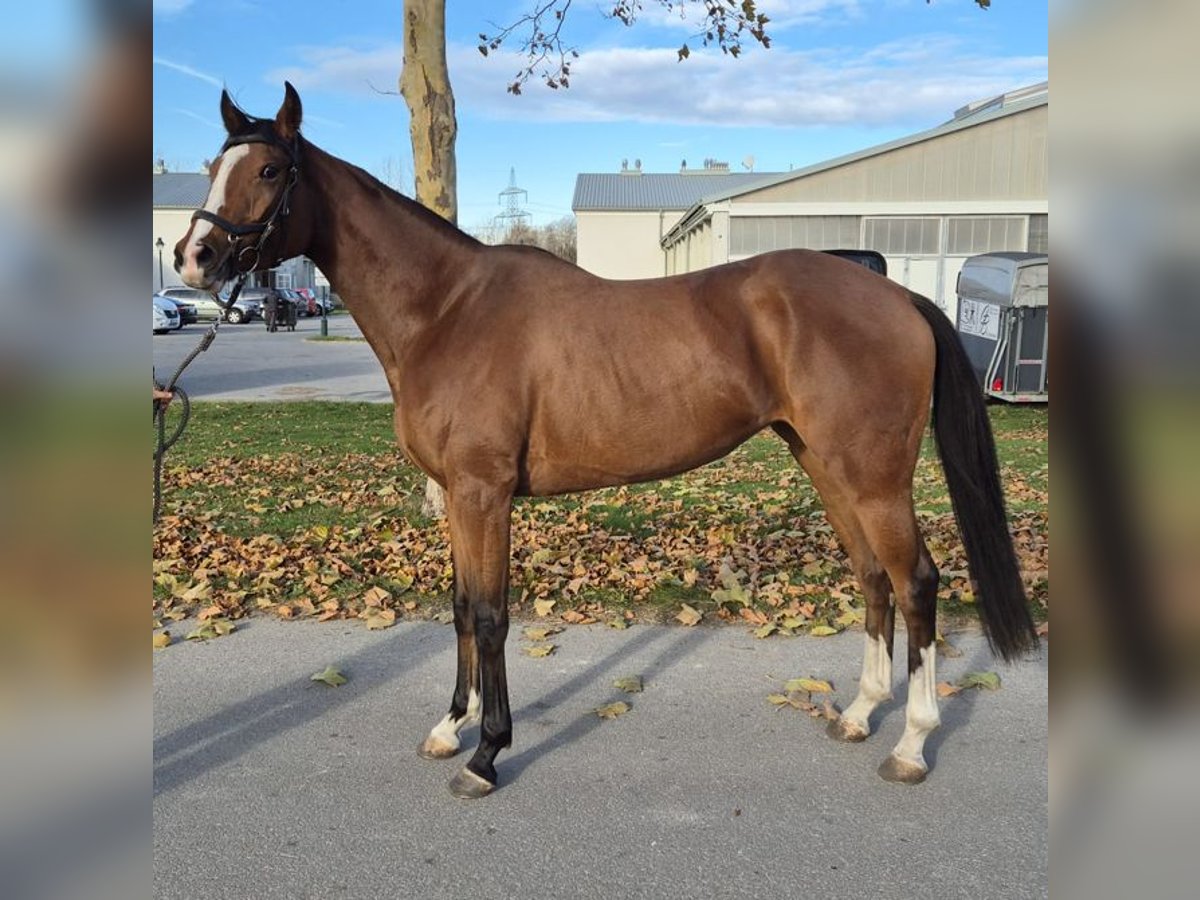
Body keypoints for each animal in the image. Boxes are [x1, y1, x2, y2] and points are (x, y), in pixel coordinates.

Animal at [174, 86, 1036, 801]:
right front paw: (450, 728)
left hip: (874, 476)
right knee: (873, 579)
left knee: (917, 582)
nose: (193, 258)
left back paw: (912, 744)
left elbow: (491, 613)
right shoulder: (458, 495)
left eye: (271, 169)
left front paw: (486, 755)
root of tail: (897, 294)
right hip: (825, 465)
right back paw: (859, 713)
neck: (447, 310)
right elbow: (458, 608)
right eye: (213, 167)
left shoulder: (484, 492)